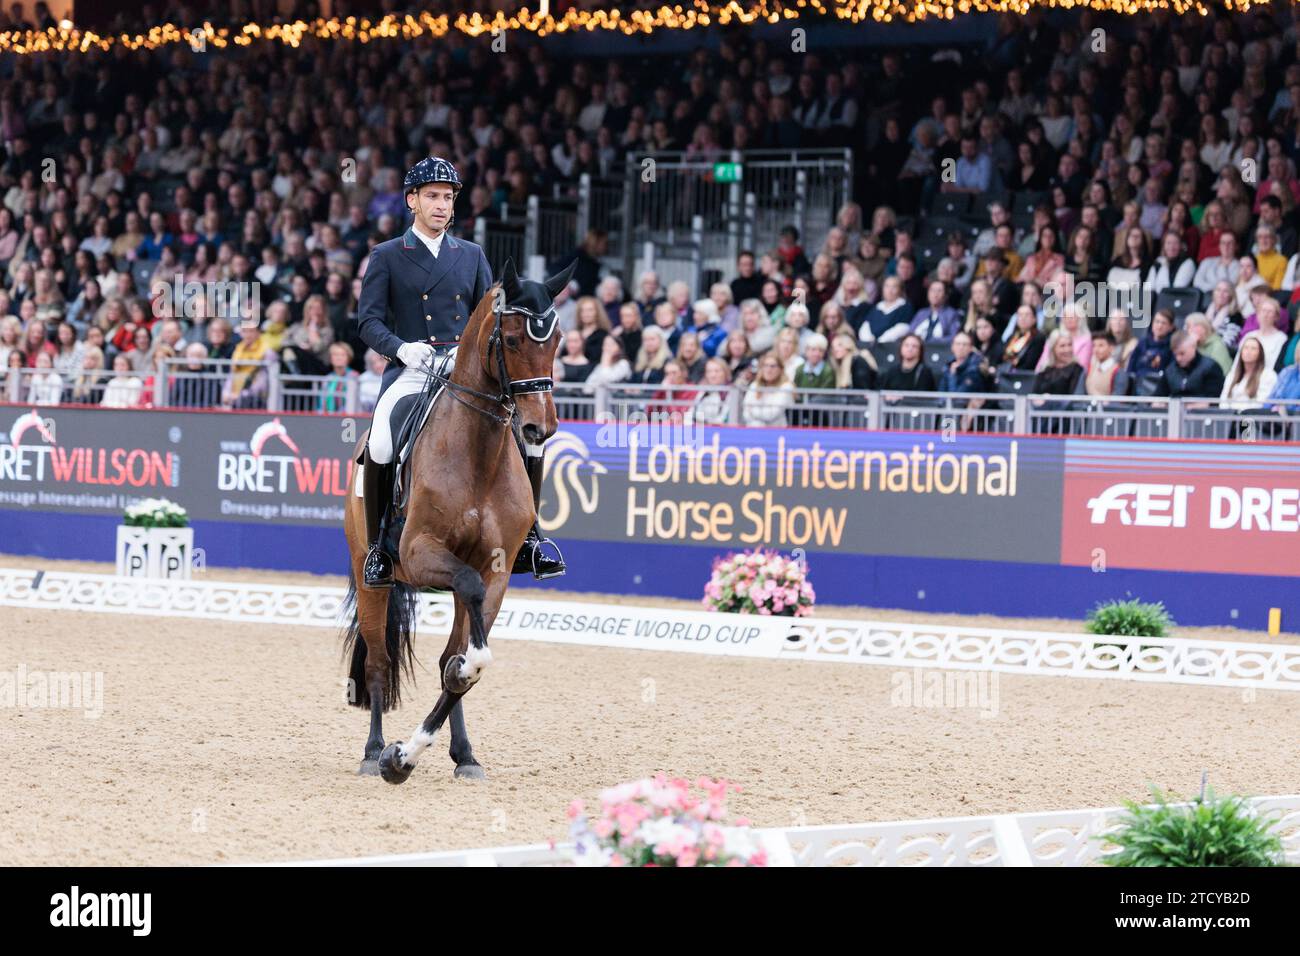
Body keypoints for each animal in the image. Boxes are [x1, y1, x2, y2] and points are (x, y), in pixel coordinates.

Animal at [340, 259, 571, 784]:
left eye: (557, 340)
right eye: (511, 339)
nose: (539, 429)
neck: (478, 452)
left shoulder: (497, 569)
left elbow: (465, 664)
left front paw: (418, 754)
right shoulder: (420, 553)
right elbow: (464, 636)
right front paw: (395, 758)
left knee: (447, 652)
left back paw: (462, 754)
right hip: (371, 572)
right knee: (378, 661)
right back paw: (372, 752)